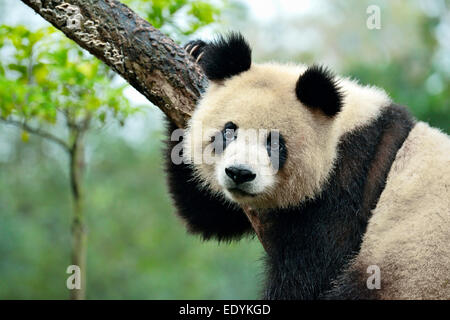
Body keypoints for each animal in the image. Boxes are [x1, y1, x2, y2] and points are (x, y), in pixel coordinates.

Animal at [163, 32, 448, 300]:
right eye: (229, 130)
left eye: (275, 142)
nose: (239, 174)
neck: (340, 130)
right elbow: (209, 213)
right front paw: (198, 50)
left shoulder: (352, 178)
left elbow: (312, 270)